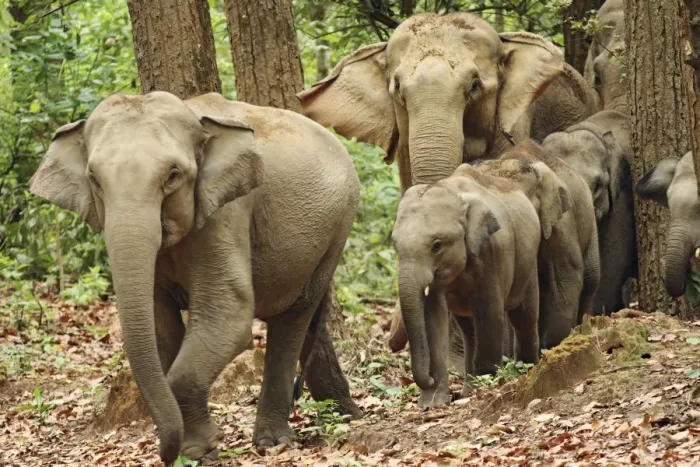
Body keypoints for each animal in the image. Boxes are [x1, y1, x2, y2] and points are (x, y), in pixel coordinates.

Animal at [28, 91, 362, 464]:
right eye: (95, 180)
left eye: (173, 175)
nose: (164, 453)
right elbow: (160, 327)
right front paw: (195, 450)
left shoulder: (226, 212)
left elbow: (229, 316)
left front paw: (199, 451)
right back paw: (340, 412)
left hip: (337, 229)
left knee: (293, 316)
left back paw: (275, 440)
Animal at [391, 162, 543, 407]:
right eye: (395, 245)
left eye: (436, 246)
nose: (426, 379)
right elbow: (433, 317)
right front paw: (433, 402)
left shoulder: (492, 251)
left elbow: (490, 311)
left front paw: (488, 384)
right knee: (468, 328)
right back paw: (468, 390)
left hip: (528, 263)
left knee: (524, 316)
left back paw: (526, 368)